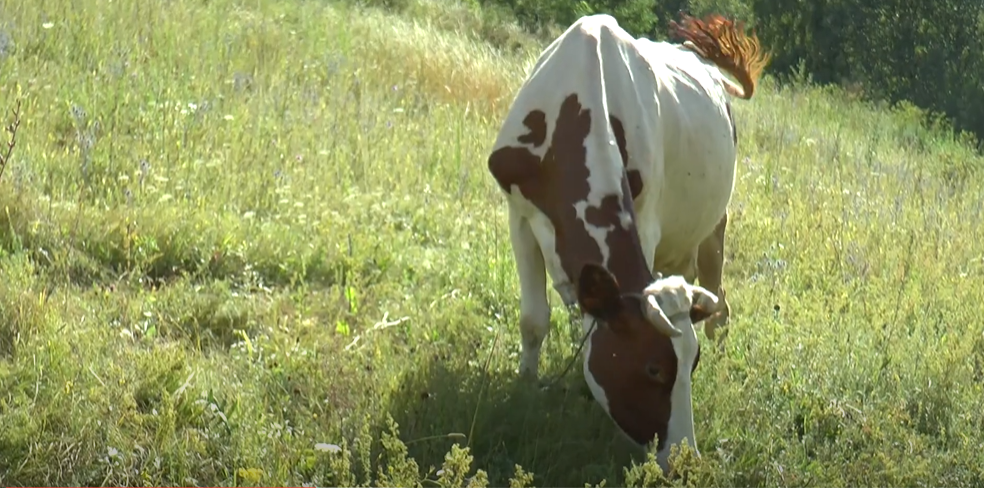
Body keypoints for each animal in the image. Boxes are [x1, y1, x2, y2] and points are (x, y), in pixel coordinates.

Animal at [484, 13, 768, 474]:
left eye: (692, 365)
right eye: (653, 369)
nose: (684, 458)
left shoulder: (646, 222)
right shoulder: (519, 214)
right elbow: (533, 319)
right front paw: (526, 384)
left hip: (714, 224)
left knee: (719, 298)